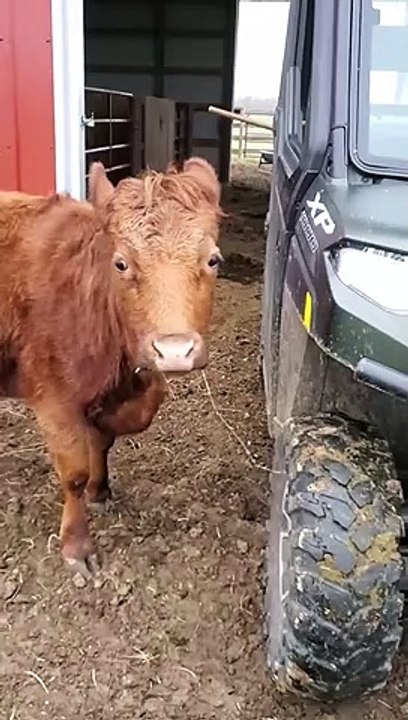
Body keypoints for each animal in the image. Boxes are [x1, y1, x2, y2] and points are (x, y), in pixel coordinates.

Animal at [0, 157, 223, 578]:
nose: (174, 351)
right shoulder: (54, 402)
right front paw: (77, 544)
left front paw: (100, 490)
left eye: (213, 259)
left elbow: (104, 438)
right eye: (121, 263)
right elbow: (73, 473)